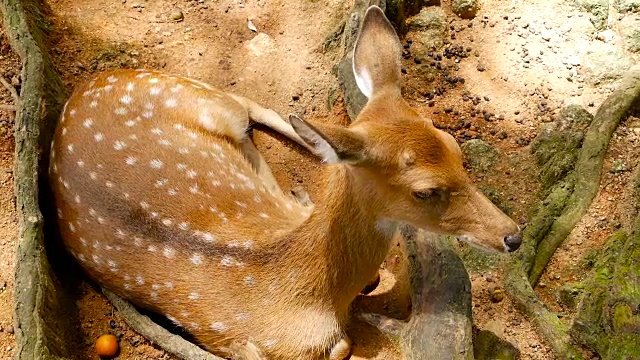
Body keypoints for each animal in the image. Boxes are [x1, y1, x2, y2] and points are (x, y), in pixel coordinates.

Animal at [48, 5, 520, 360]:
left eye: (454, 147)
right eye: (424, 191)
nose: (512, 236)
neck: (314, 293)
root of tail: (83, 86)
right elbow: (341, 345)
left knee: (255, 107)